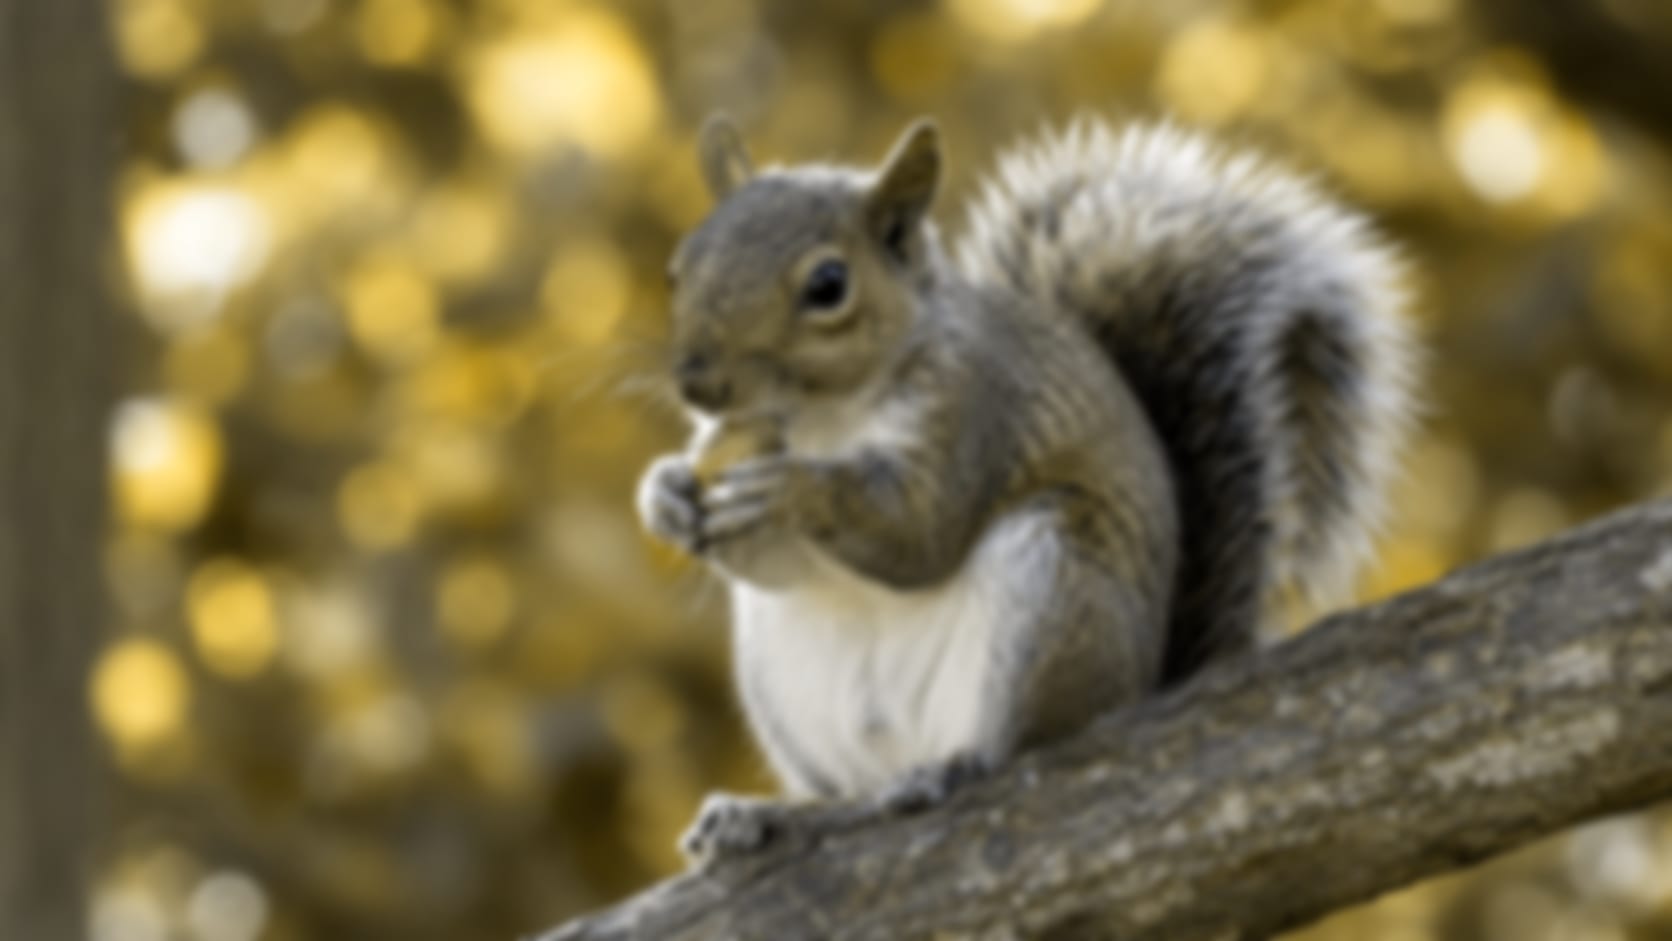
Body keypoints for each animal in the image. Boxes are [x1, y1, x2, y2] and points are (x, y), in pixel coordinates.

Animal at [636, 113, 1415, 864]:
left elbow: (919, 533)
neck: (823, 416)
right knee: (849, 796)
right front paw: (665, 493)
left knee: (1022, 750)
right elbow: (776, 561)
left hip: (1053, 585)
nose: (699, 384)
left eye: (828, 286)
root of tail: (1144, 687)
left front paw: (793, 491)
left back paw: (947, 770)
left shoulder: (974, 412)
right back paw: (767, 816)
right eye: (680, 267)